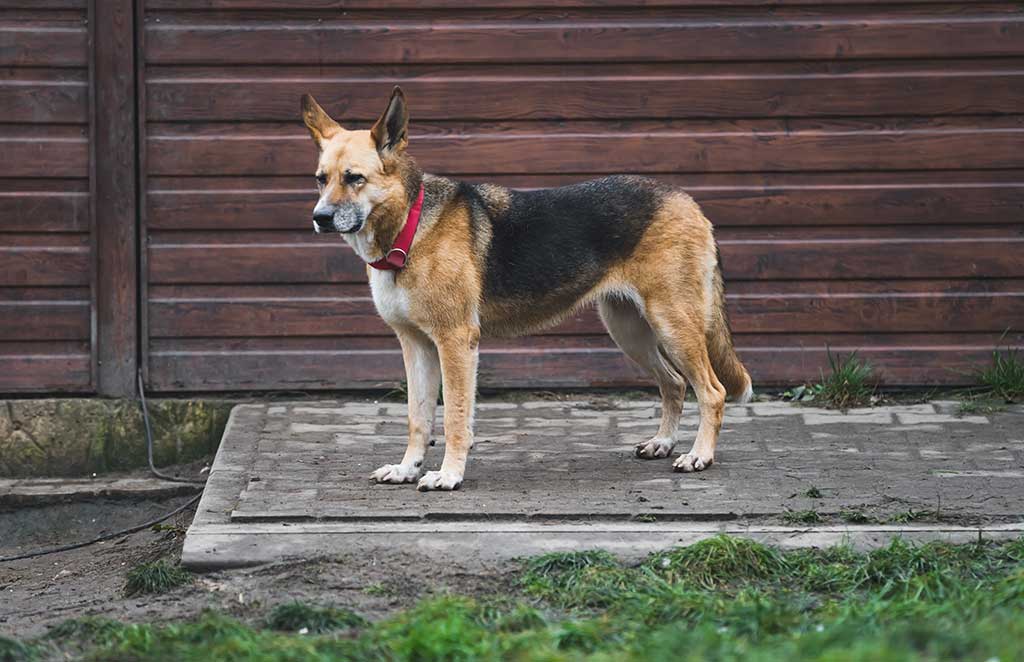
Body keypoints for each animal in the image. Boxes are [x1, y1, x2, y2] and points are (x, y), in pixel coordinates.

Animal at [301, 87, 753, 491]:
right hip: (631, 331)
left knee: (711, 391)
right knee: (674, 384)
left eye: (354, 179)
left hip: (672, 325)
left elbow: (454, 418)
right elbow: (418, 418)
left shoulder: (455, 343)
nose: (320, 218)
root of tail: (687, 200)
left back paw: (699, 455)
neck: (408, 229)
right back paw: (663, 442)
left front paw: (449, 475)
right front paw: (407, 469)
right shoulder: (415, 346)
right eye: (321, 180)